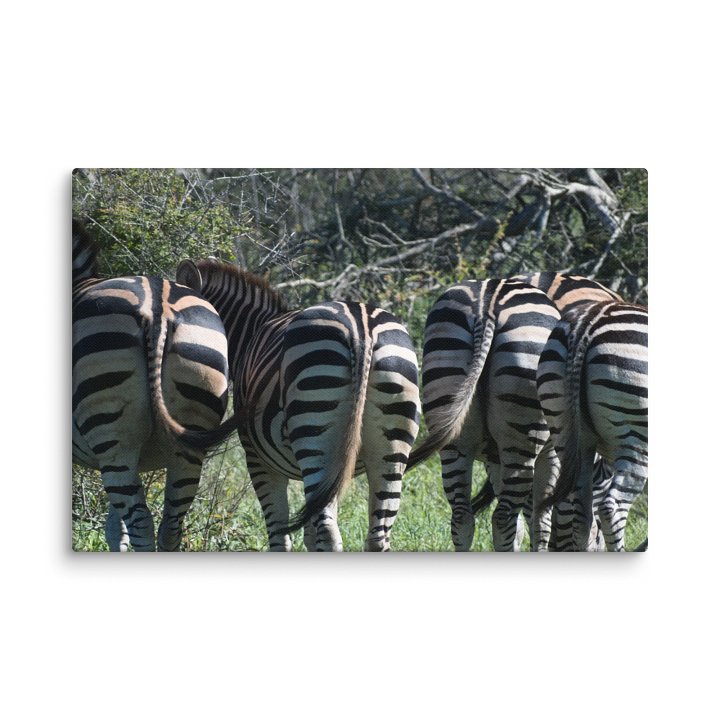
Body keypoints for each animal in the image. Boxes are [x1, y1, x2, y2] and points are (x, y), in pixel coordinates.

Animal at [72, 220, 234, 551]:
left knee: (141, 523)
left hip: (113, 440)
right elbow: (114, 529)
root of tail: (157, 305)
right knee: (170, 525)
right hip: (189, 437)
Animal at [175, 259, 421, 551]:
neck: (250, 332)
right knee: (377, 536)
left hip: (315, 434)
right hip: (391, 443)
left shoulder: (258, 460)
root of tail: (362, 327)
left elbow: (280, 538)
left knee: (329, 533)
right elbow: (309, 536)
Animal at [406, 278, 561, 551]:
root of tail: (487, 304)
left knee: (461, 517)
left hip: (454, 433)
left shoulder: (494, 459)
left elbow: (524, 525)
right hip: (521, 439)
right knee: (503, 518)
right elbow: (541, 520)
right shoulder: (550, 453)